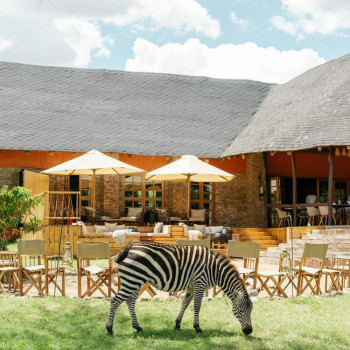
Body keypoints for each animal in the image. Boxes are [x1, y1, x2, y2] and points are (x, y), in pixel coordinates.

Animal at [106, 242, 254, 334]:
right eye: (241, 310)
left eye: (251, 310)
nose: (249, 331)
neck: (214, 269)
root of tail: (130, 246)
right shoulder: (200, 282)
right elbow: (197, 306)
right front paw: (197, 328)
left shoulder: (192, 286)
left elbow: (185, 303)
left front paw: (177, 324)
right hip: (133, 279)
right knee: (115, 300)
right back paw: (109, 329)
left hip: (136, 281)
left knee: (129, 301)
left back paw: (137, 327)